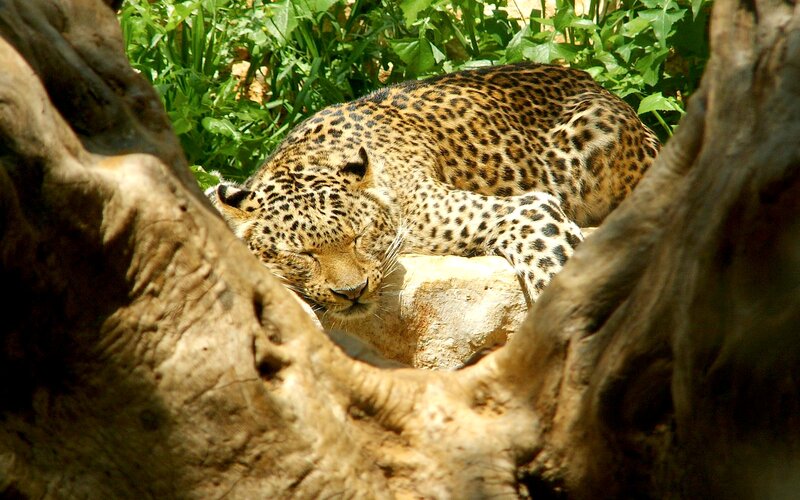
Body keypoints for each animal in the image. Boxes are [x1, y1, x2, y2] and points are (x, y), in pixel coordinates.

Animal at [208, 63, 660, 319]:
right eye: (302, 255)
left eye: (358, 238)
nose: (352, 293)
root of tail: (591, 80)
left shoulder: (528, 207)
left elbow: (553, 264)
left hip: (598, 128)